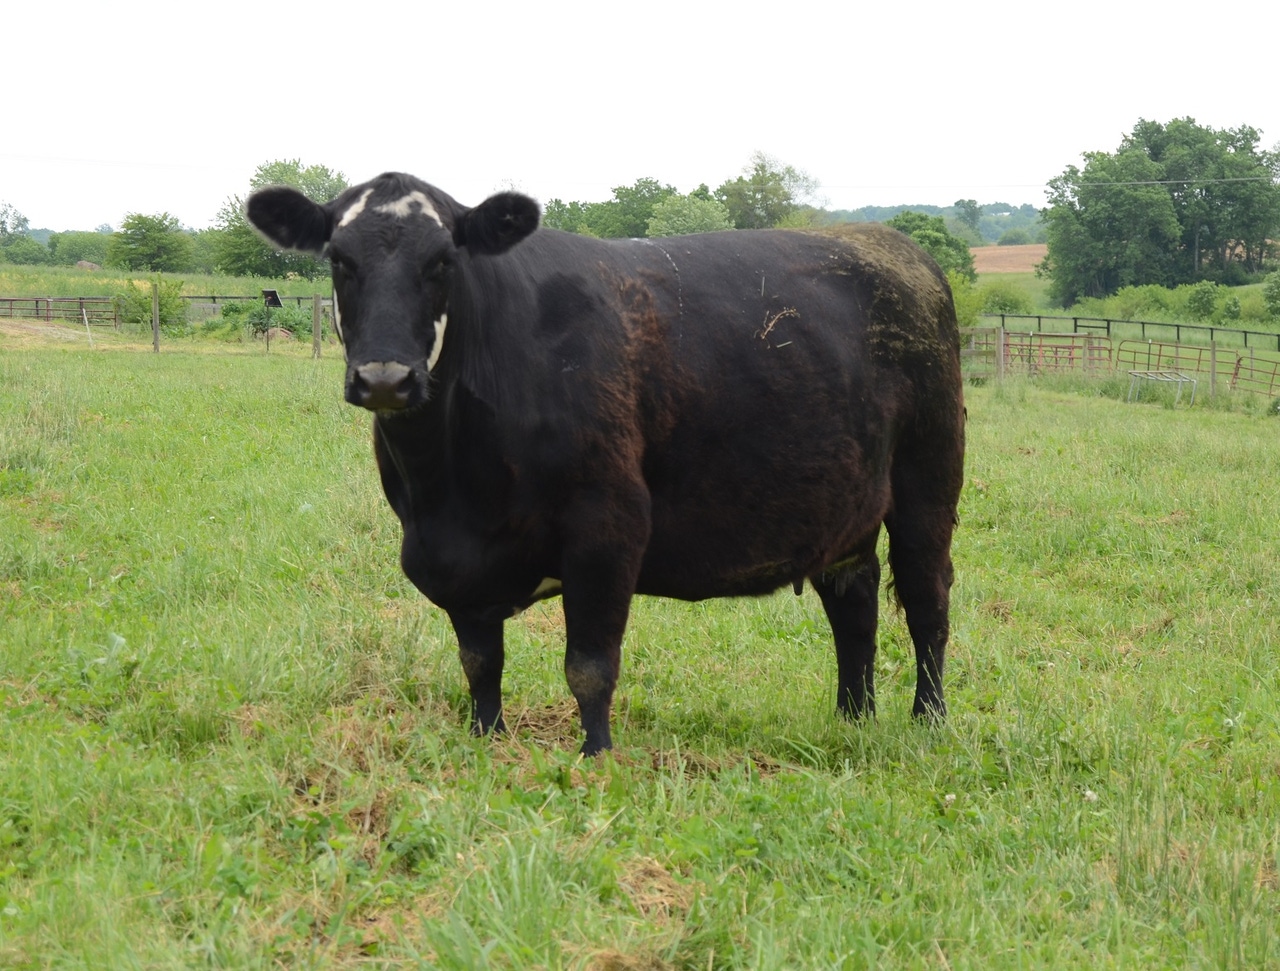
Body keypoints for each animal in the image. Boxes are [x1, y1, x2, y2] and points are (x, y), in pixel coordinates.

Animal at [247, 172, 965, 755]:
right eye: (339, 260)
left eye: (443, 260)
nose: (385, 378)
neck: (451, 483)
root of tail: (890, 242)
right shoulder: (450, 555)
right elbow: (479, 663)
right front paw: (486, 740)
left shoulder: (607, 526)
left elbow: (589, 665)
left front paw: (596, 756)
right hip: (844, 503)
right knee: (855, 602)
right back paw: (852, 718)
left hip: (929, 480)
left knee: (927, 602)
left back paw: (928, 720)